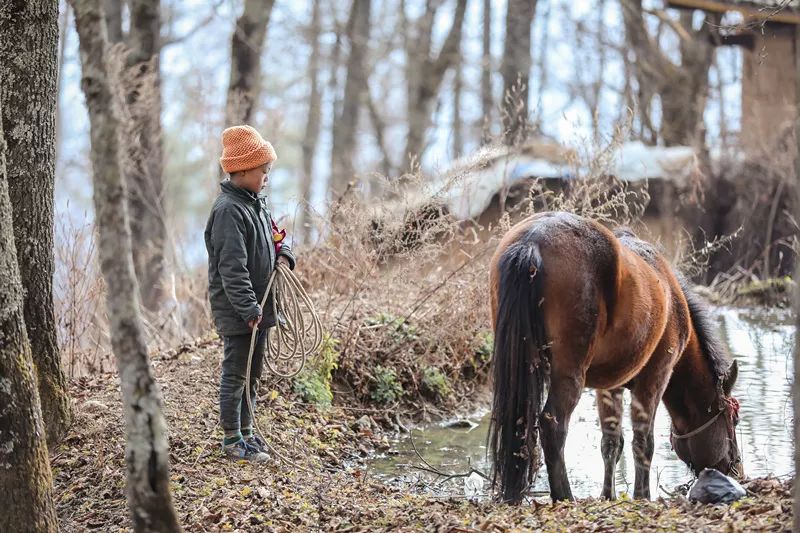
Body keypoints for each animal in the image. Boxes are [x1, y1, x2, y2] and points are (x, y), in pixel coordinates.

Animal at [488, 212, 744, 502]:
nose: (736, 469)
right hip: (569, 372)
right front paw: (642, 495)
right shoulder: (655, 376)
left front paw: (608, 495)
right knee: (553, 425)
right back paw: (564, 496)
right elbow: (643, 442)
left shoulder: (610, 386)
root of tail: (532, 240)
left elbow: (611, 442)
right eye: (733, 418)